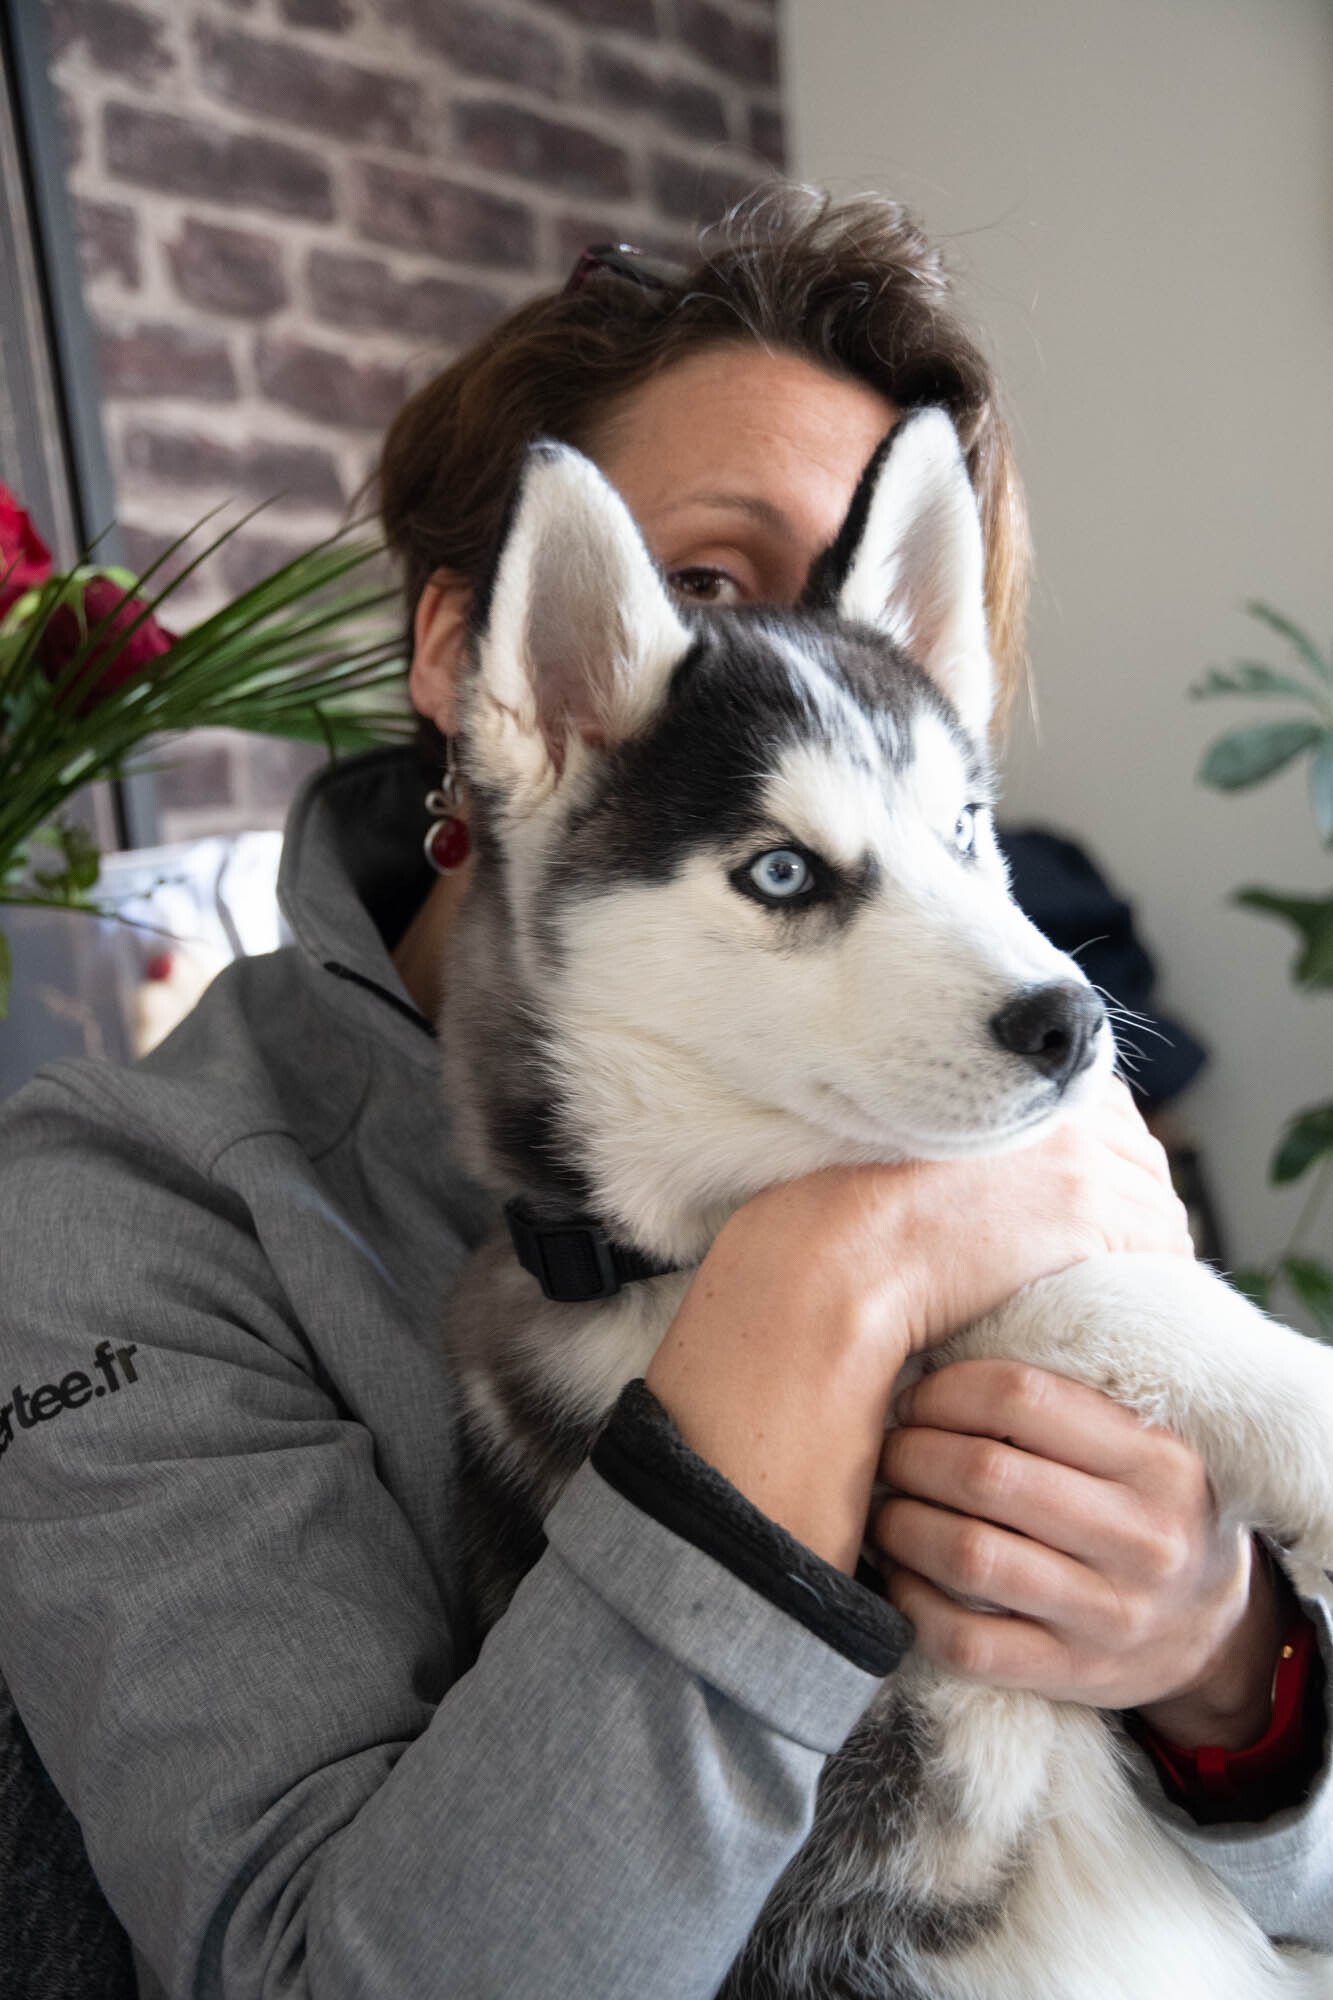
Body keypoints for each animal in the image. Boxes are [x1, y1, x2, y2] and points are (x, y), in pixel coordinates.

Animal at [440, 410, 1328, 2000]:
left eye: (967, 828)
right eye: (783, 871)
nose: (1070, 1022)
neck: (660, 1249)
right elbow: (1081, 1295)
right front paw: (1314, 1418)